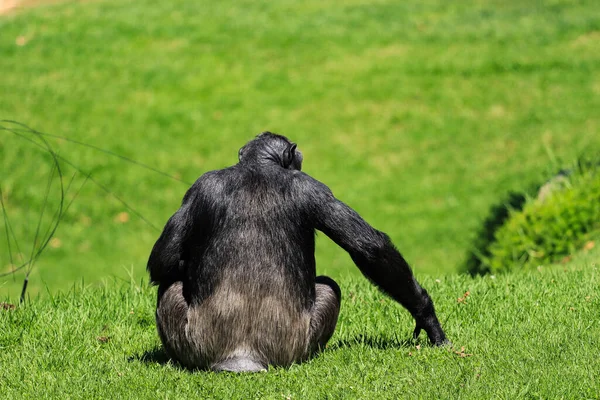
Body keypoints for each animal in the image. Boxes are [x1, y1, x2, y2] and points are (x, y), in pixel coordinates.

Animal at [146, 132, 446, 372]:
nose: (300, 157)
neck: (259, 166)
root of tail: (242, 357)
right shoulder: (315, 188)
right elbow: (369, 247)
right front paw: (427, 316)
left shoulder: (200, 186)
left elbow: (164, 259)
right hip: (278, 345)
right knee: (329, 287)